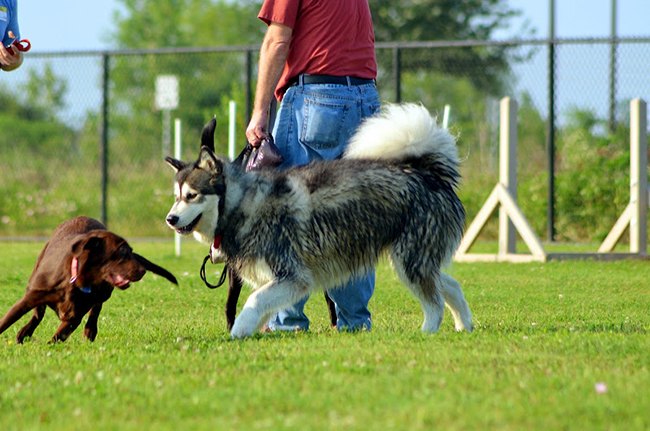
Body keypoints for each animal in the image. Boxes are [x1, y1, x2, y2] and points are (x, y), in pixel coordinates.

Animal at [166, 103, 470, 340]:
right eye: (176, 196)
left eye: (192, 195)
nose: (171, 219)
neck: (242, 203)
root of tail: (430, 175)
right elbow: (262, 305)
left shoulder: (294, 276)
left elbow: (254, 299)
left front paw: (239, 330)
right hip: (414, 259)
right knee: (450, 285)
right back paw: (464, 325)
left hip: (410, 260)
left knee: (435, 303)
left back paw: (427, 332)